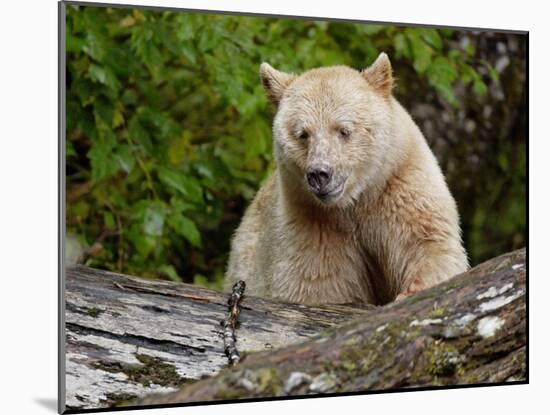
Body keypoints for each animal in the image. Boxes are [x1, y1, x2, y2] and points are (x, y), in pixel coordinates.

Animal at [224, 52, 470, 306]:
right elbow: (316, 282)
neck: (353, 201)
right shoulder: (310, 223)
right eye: (303, 134)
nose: (319, 174)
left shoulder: (401, 184)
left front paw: (410, 292)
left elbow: (428, 244)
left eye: (343, 130)